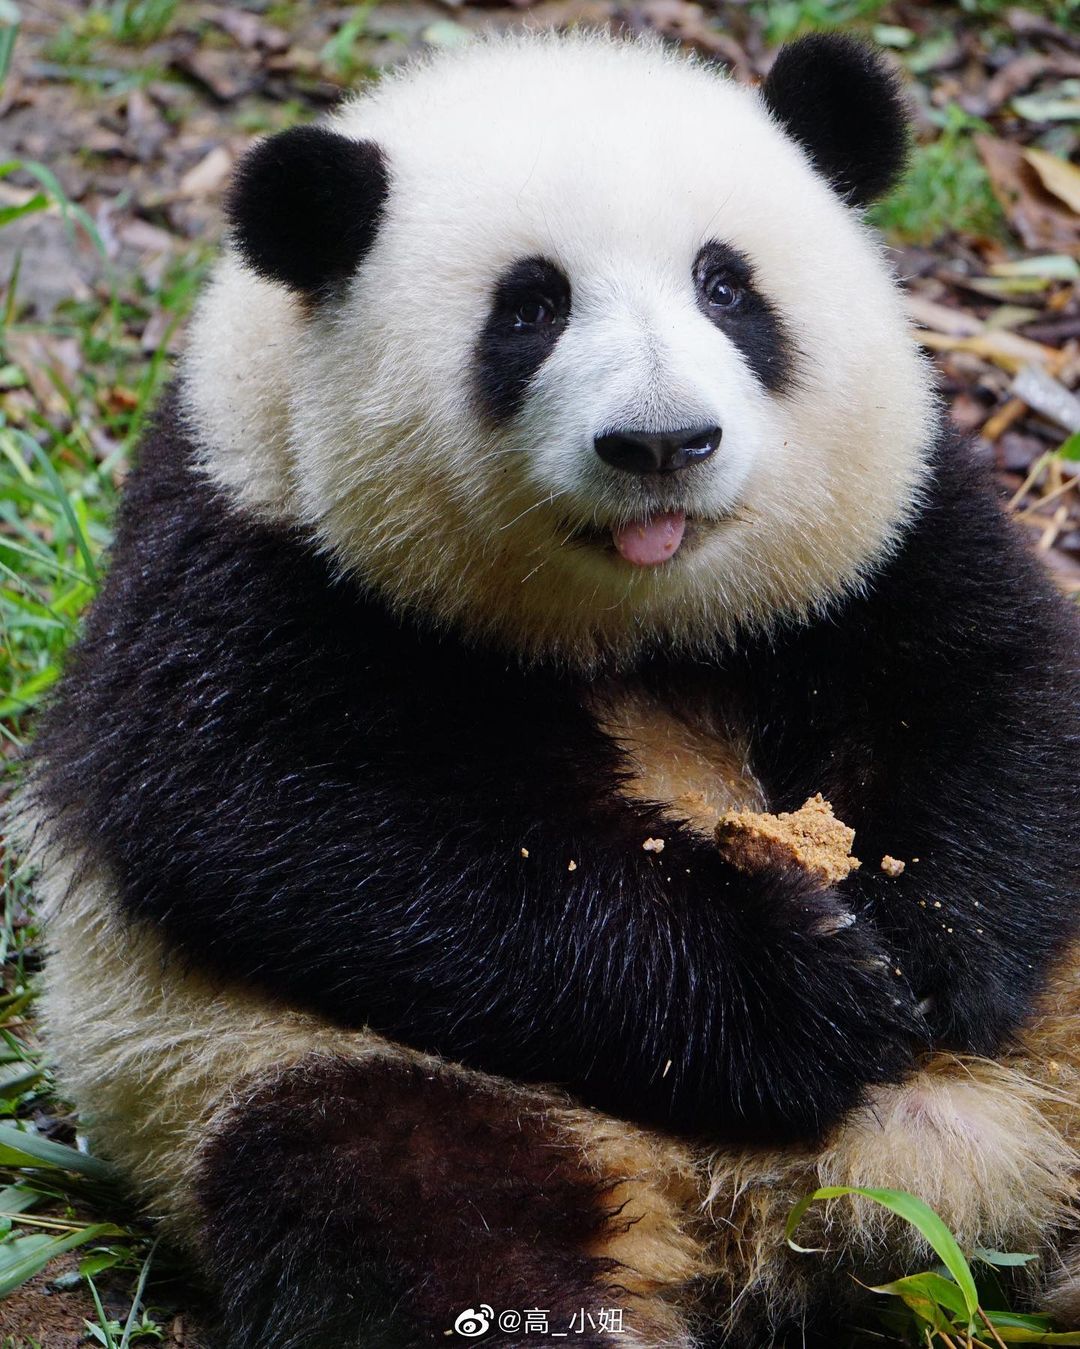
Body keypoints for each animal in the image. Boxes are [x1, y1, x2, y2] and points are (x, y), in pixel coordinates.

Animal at [13, 27, 1080, 1349]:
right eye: (530, 307)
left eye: (726, 286)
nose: (663, 442)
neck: (635, 625)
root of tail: (776, 1207)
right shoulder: (251, 548)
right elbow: (303, 816)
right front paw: (800, 991)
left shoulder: (896, 517)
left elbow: (997, 694)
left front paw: (922, 947)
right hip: (298, 1067)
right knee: (404, 1205)